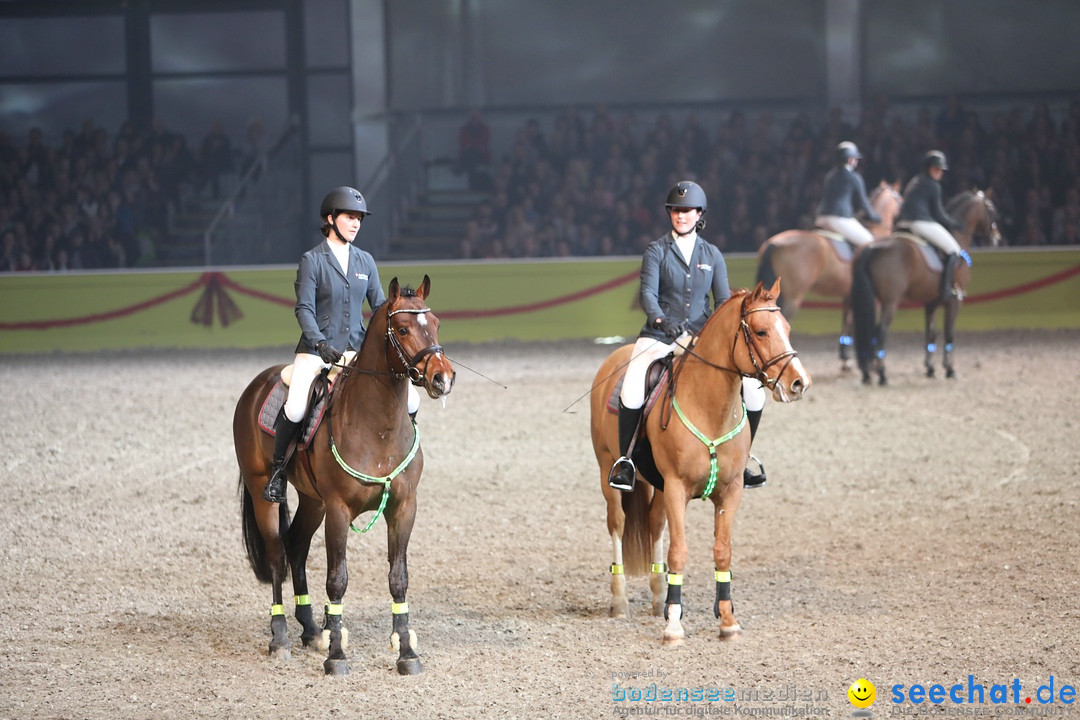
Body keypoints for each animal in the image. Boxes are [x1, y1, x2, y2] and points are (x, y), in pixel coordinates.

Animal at [234, 276, 453, 677]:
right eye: (402, 328)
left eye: (436, 323)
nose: (443, 377)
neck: (378, 426)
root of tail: (257, 384)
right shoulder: (338, 510)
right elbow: (337, 580)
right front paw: (336, 655)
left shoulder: (403, 508)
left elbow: (398, 578)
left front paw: (406, 652)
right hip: (263, 493)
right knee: (276, 556)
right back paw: (281, 637)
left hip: (312, 501)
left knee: (296, 546)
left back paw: (310, 628)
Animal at [591, 280, 812, 647]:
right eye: (762, 331)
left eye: (788, 329)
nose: (799, 383)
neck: (711, 409)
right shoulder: (677, 488)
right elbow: (679, 552)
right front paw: (674, 626)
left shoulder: (730, 490)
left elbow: (722, 551)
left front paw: (726, 620)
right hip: (609, 471)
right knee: (617, 525)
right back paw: (620, 601)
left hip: (656, 485)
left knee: (653, 526)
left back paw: (658, 599)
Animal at [751, 179, 902, 371]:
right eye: (900, 198)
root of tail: (774, 243)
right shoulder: (872, 298)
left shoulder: (849, 295)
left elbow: (847, 321)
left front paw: (845, 359)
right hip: (793, 296)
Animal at [851, 188, 1002, 386]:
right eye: (991, 209)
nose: (997, 238)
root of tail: (871, 247)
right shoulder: (954, 301)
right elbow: (949, 333)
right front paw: (949, 369)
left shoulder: (931, 302)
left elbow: (931, 334)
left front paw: (930, 368)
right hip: (890, 302)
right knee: (879, 331)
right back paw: (882, 374)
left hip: (871, 300)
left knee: (864, 331)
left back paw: (867, 373)